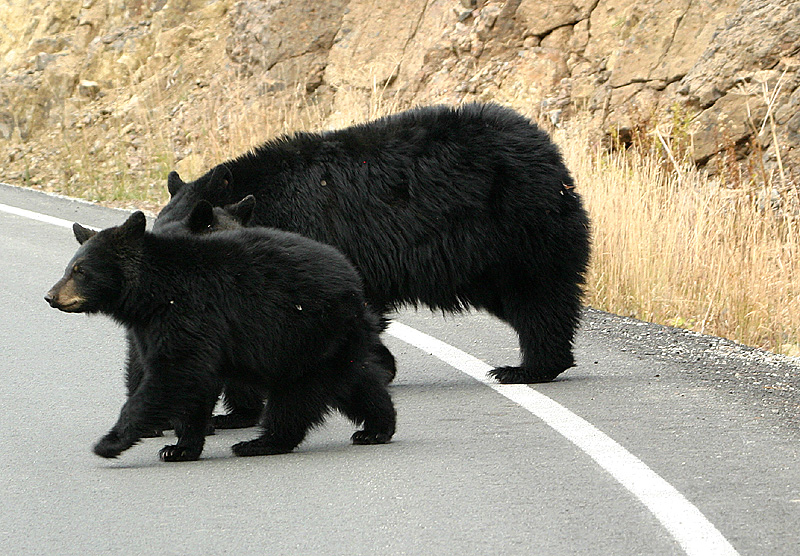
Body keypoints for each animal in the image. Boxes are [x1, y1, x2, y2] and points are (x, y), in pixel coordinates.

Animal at [45, 212, 396, 460]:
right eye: (69, 268)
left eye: (80, 270)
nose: (51, 296)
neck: (152, 293)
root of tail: (356, 288)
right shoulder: (158, 326)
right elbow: (191, 381)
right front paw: (181, 448)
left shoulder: (187, 313)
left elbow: (175, 374)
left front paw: (110, 441)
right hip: (332, 343)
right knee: (355, 381)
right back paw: (378, 428)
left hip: (304, 333)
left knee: (296, 395)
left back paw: (260, 443)